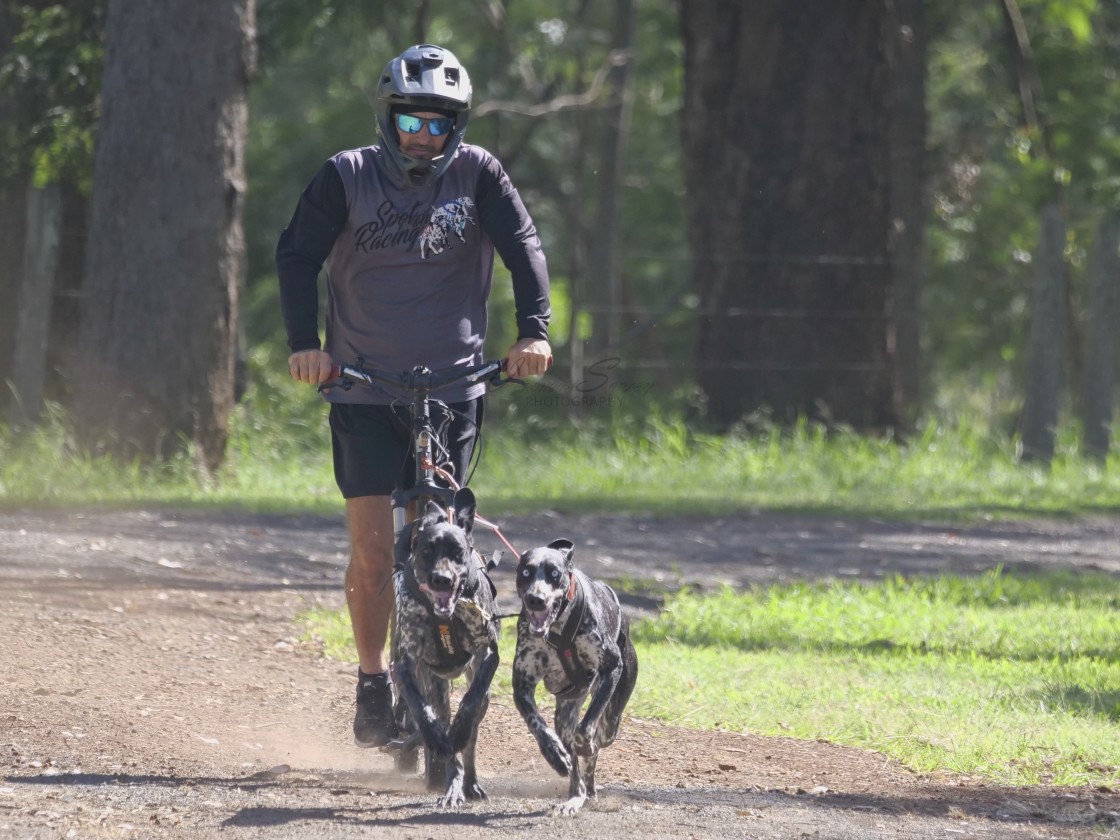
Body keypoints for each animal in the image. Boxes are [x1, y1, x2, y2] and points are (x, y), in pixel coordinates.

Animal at [392, 490, 501, 810]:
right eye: (427, 550)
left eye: (457, 551)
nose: (442, 579)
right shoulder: (406, 663)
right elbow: (419, 707)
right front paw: (435, 737)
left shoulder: (488, 654)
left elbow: (470, 701)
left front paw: (459, 728)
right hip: (436, 687)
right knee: (447, 744)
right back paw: (452, 785)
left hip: (484, 698)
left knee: (470, 742)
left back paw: (469, 780)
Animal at [512, 539, 640, 815]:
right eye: (526, 571)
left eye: (555, 573)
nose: (536, 599)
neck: (558, 630)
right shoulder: (522, 685)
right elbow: (537, 724)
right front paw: (554, 755)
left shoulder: (611, 668)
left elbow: (586, 728)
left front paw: (585, 744)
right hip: (564, 715)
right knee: (575, 765)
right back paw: (575, 796)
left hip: (611, 718)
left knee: (596, 742)